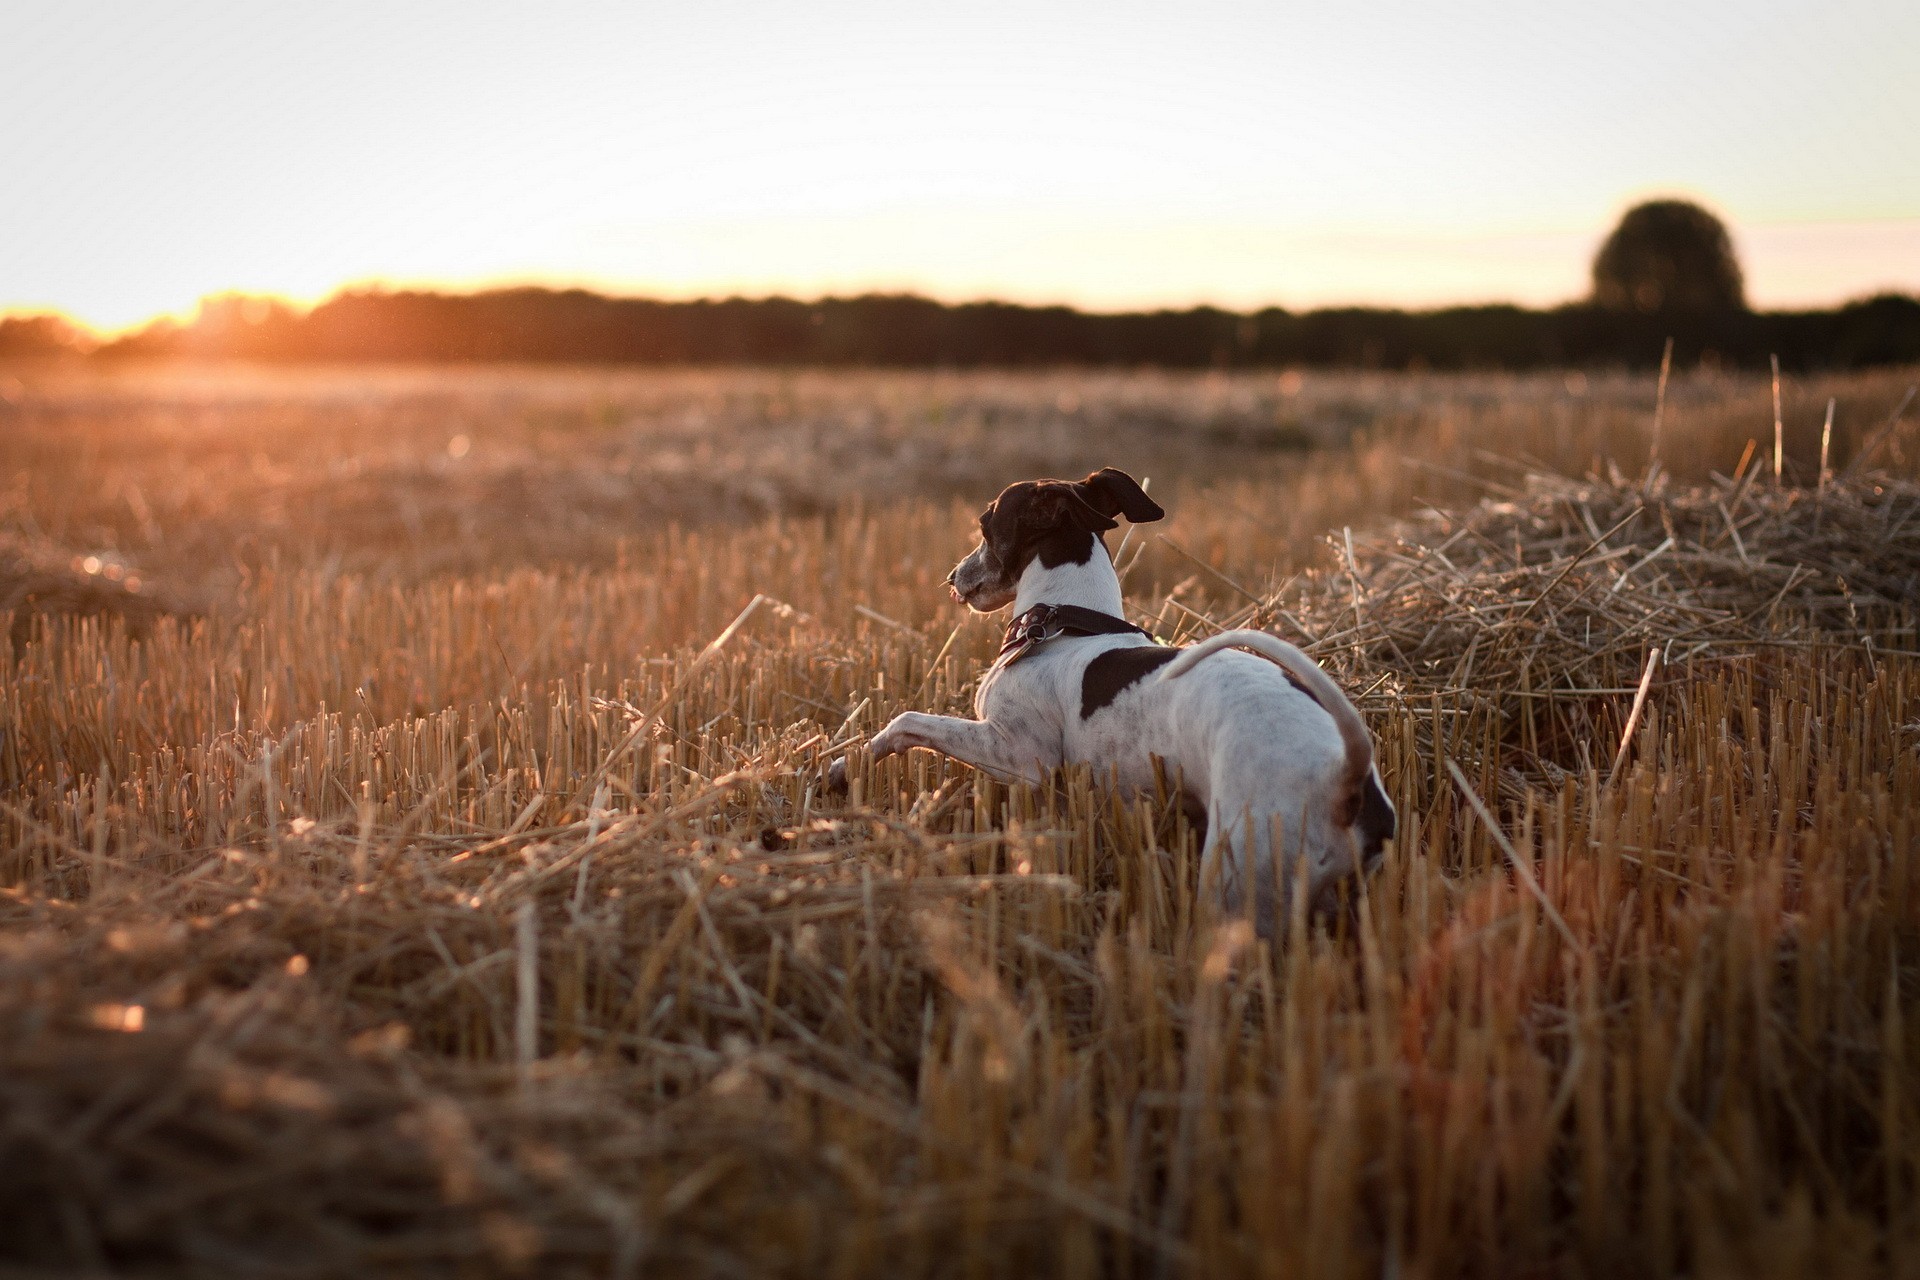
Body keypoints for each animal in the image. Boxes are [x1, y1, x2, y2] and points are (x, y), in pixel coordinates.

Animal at [840, 468, 1397, 932]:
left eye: (984, 523)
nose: (952, 578)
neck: (1064, 622)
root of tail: (1344, 778)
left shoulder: (1019, 757)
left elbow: (906, 720)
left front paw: (846, 766)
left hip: (1237, 881)